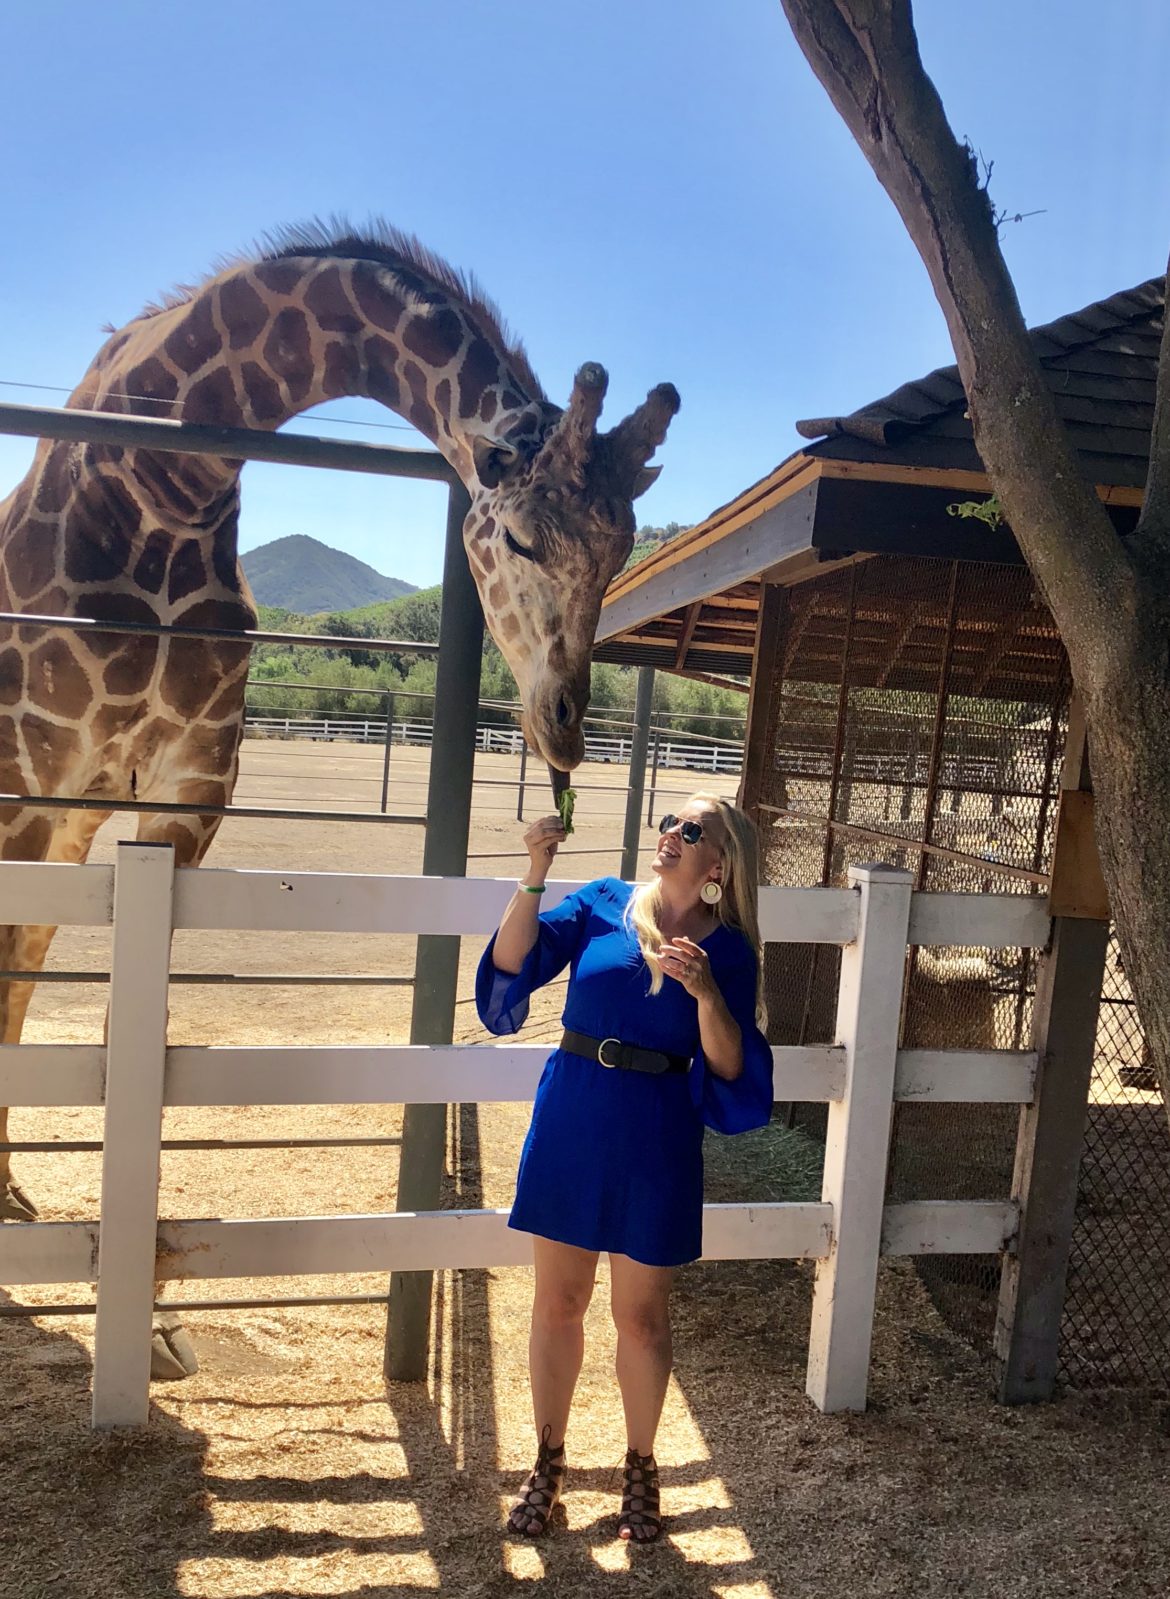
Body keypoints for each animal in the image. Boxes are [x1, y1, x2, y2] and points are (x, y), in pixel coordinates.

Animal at [0, 220, 679, 1224]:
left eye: (622, 549)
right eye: (520, 539)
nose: (563, 729)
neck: (162, 483)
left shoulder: (185, 789)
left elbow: (133, 1007)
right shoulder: (28, 774)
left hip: (77, 813)